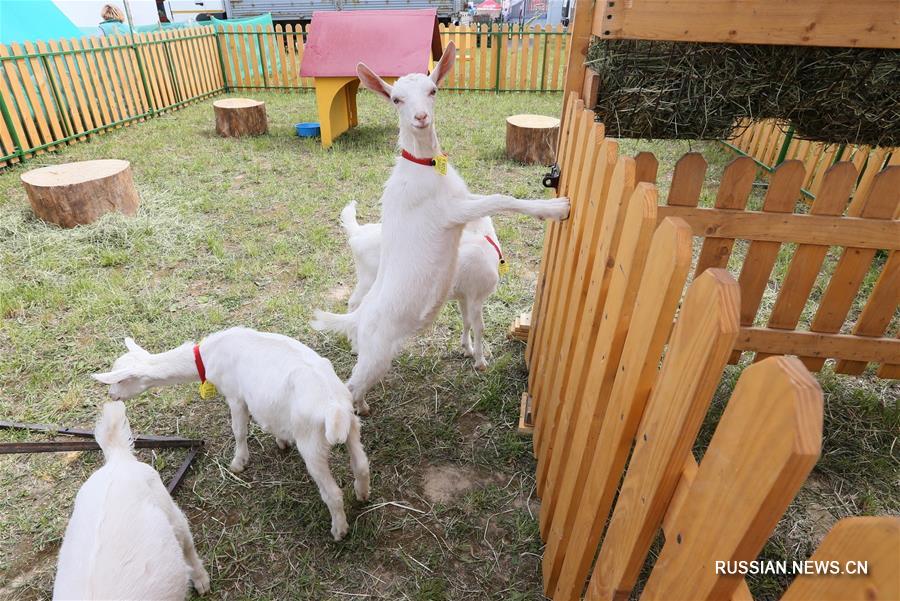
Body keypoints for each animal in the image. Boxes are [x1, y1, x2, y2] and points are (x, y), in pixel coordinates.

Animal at [93, 328, 370, 540]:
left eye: (119, 381)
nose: (111, 396)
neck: (208, 356)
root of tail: (334, 409)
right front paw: (281, 441)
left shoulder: (235, 396)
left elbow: (239, 430)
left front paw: (238, 463)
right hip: (353, 428)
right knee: (361, 464)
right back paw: (362, 495)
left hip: (311, 442)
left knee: (332, 492)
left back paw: (339, 530)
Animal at [342, 200, 502, 370]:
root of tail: (358, 234)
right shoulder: (477, 296)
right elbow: (480, 328)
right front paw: (481, 362)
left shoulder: (465, 296)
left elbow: (466, 321)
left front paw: (467, 349)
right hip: (369, 279)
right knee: (354, 304)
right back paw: (355, 346)